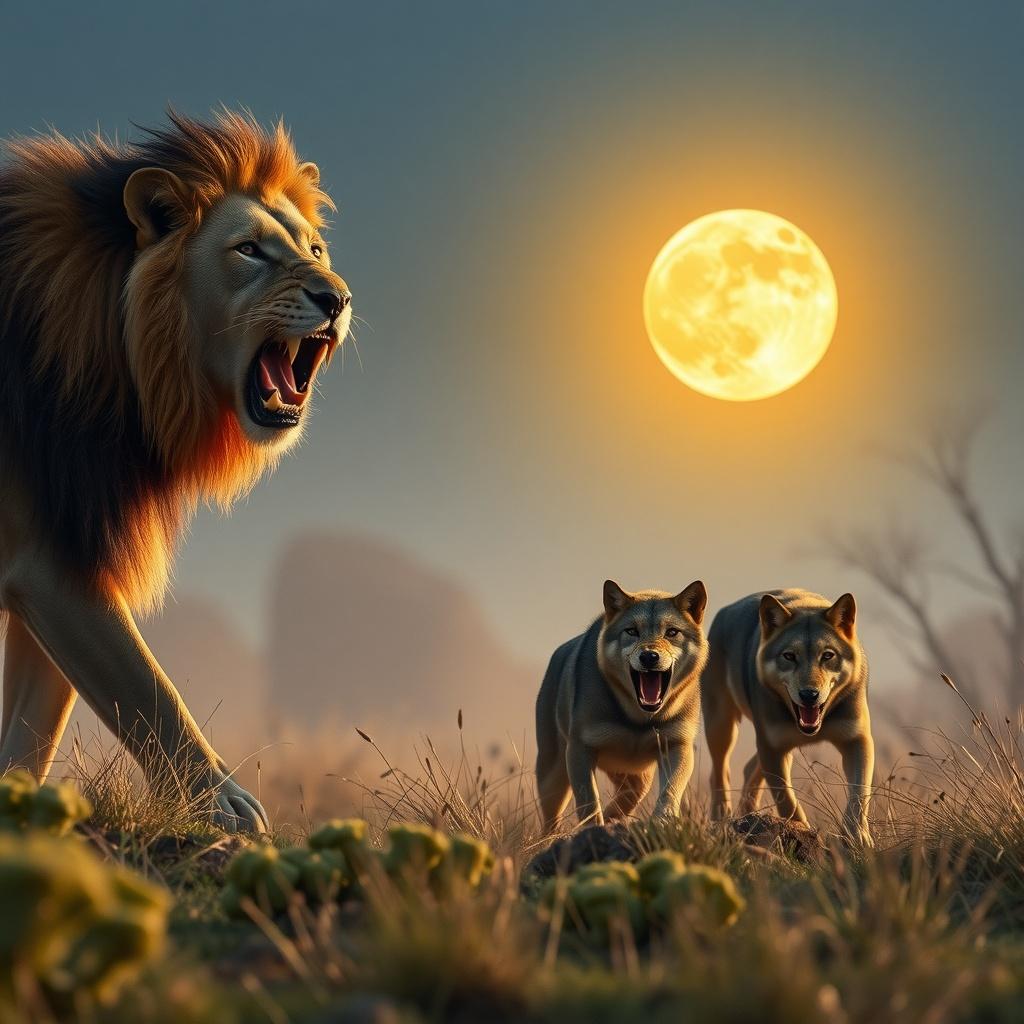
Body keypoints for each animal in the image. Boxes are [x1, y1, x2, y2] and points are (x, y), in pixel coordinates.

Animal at [0, 110, 352, 832]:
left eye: (317, 249)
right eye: (250, 251)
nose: (337, 298)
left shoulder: (70, 544)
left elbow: (29, 738)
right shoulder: (47, 561)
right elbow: (146, 688)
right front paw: (226, 805)